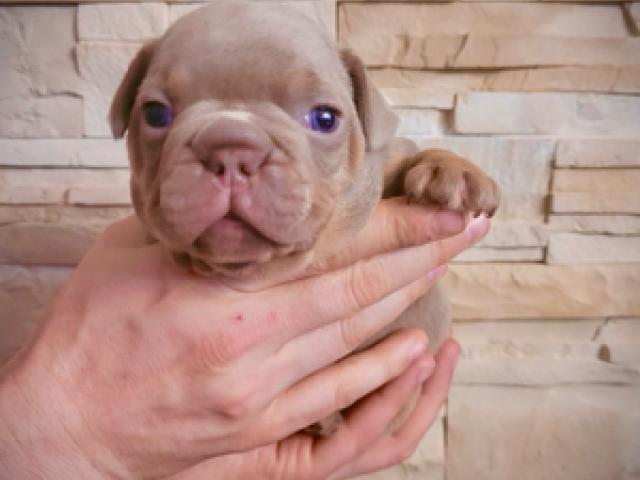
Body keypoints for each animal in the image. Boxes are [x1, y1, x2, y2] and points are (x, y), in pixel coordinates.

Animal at [109, 0, 500, 436]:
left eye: (324, 118)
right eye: (155, 114)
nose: (231, 148)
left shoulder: (386, 163)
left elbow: (410, 158)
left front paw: (454, 171)